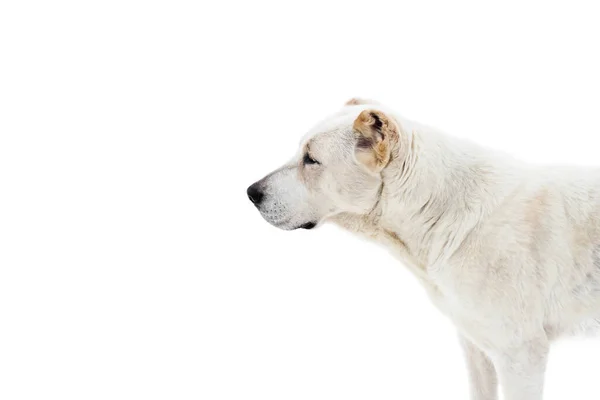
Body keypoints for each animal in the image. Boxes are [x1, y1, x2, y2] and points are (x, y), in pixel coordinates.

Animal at [245, 97, 600, 400]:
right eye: (299, 153)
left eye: (311, 160)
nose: (251, 192)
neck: (441, 213)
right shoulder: (476, 347)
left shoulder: (521, 354)